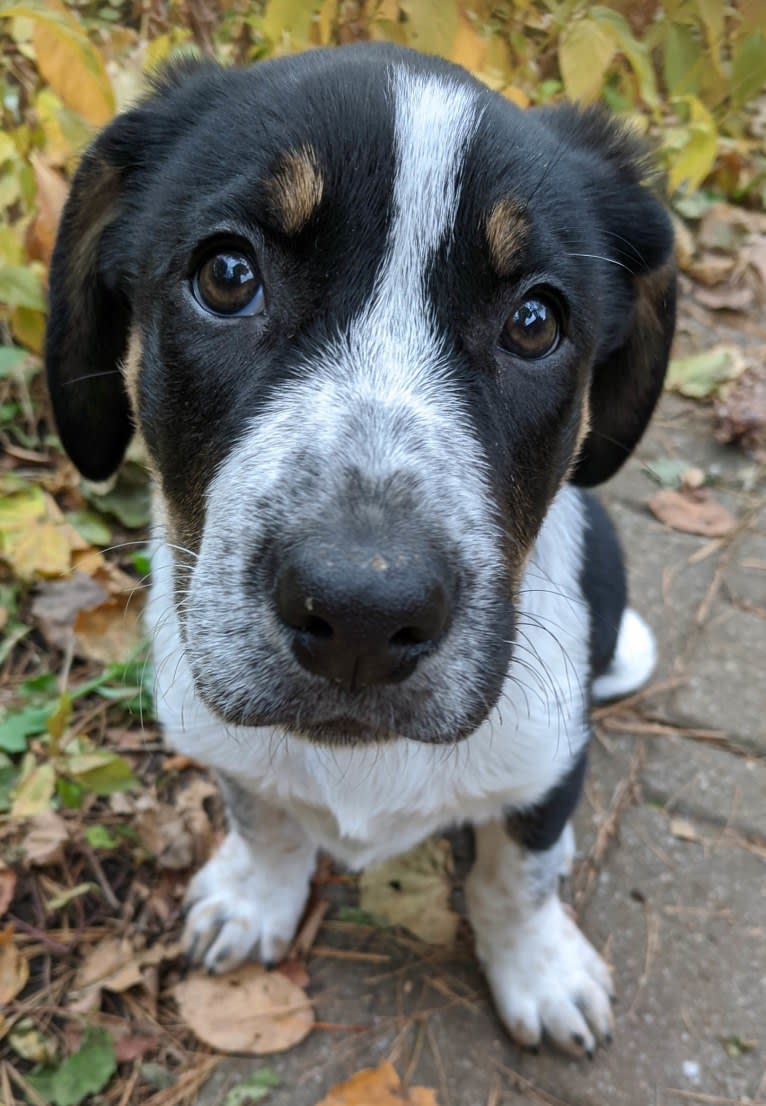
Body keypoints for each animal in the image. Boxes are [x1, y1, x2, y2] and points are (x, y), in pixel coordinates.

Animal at [46, 45, 676, 1061]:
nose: (363, 618)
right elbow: (264, 818)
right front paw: (254, 898)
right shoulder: (224, 735)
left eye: (536, 322)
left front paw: (539, 970)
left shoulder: (549, 758)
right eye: (227, 274)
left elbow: (521, 871)